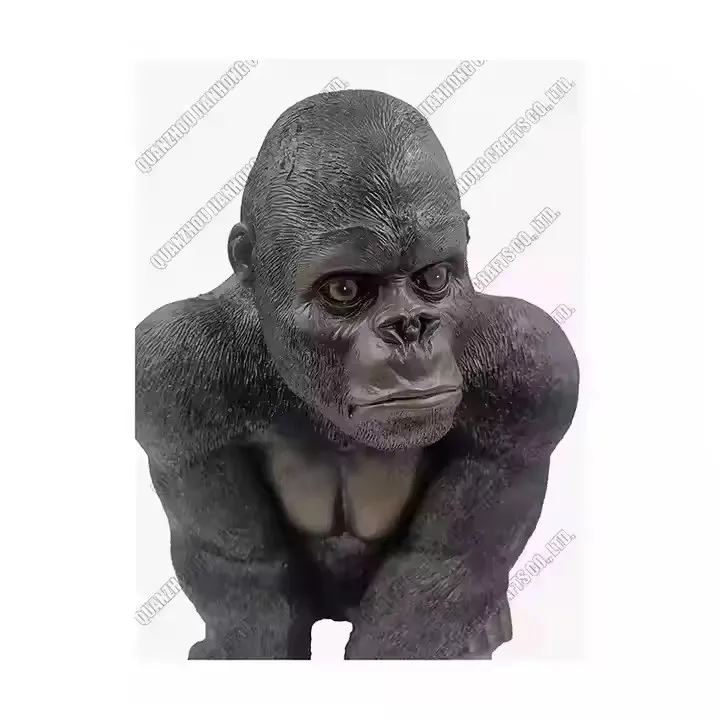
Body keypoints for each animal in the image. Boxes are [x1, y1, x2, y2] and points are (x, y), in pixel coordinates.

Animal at [135, 89, 579, 660]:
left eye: (434, 277)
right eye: (345, 289)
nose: (409, 328)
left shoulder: (534, 371)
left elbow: (440, 568)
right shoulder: (168, 374)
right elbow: (245, 574)